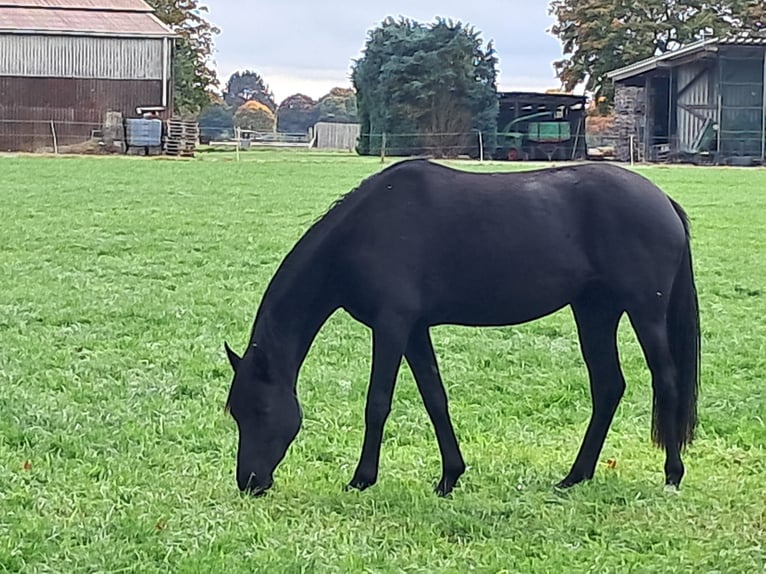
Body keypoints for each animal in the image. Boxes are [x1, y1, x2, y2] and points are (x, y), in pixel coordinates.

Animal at [223, 158, 700, 497]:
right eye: (236, 413)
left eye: (261, 409)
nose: (250, 483)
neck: (364, 231)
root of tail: (663, 200)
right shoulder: (414, 331)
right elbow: (436, 399)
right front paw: (450, 477)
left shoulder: (392, 326)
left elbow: (377, 403)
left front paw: (362, 478)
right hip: (595, 312)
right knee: (608, 386)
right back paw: (575, 476)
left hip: (644, 312)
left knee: (666, 381)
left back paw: (672, 475)